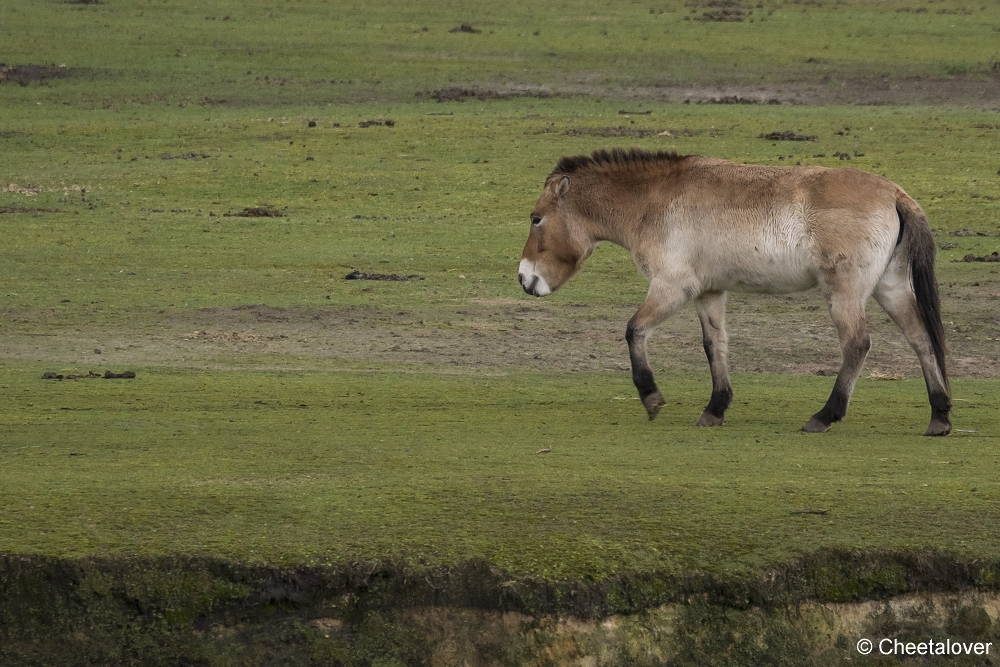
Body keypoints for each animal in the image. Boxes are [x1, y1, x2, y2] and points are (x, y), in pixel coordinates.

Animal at [520, 149, 948, 436]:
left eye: (536, 218)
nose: (525, 279)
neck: (655, 198)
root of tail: (895, 194)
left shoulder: (672, 286)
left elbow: (634, 330)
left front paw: (651, 397)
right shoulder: (709, 292)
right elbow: (715, 346)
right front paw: (715, 408)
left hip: (845, 294)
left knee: (857, 344)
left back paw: (824, 416)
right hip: (890, 288)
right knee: (921, 338)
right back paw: (940, 415)